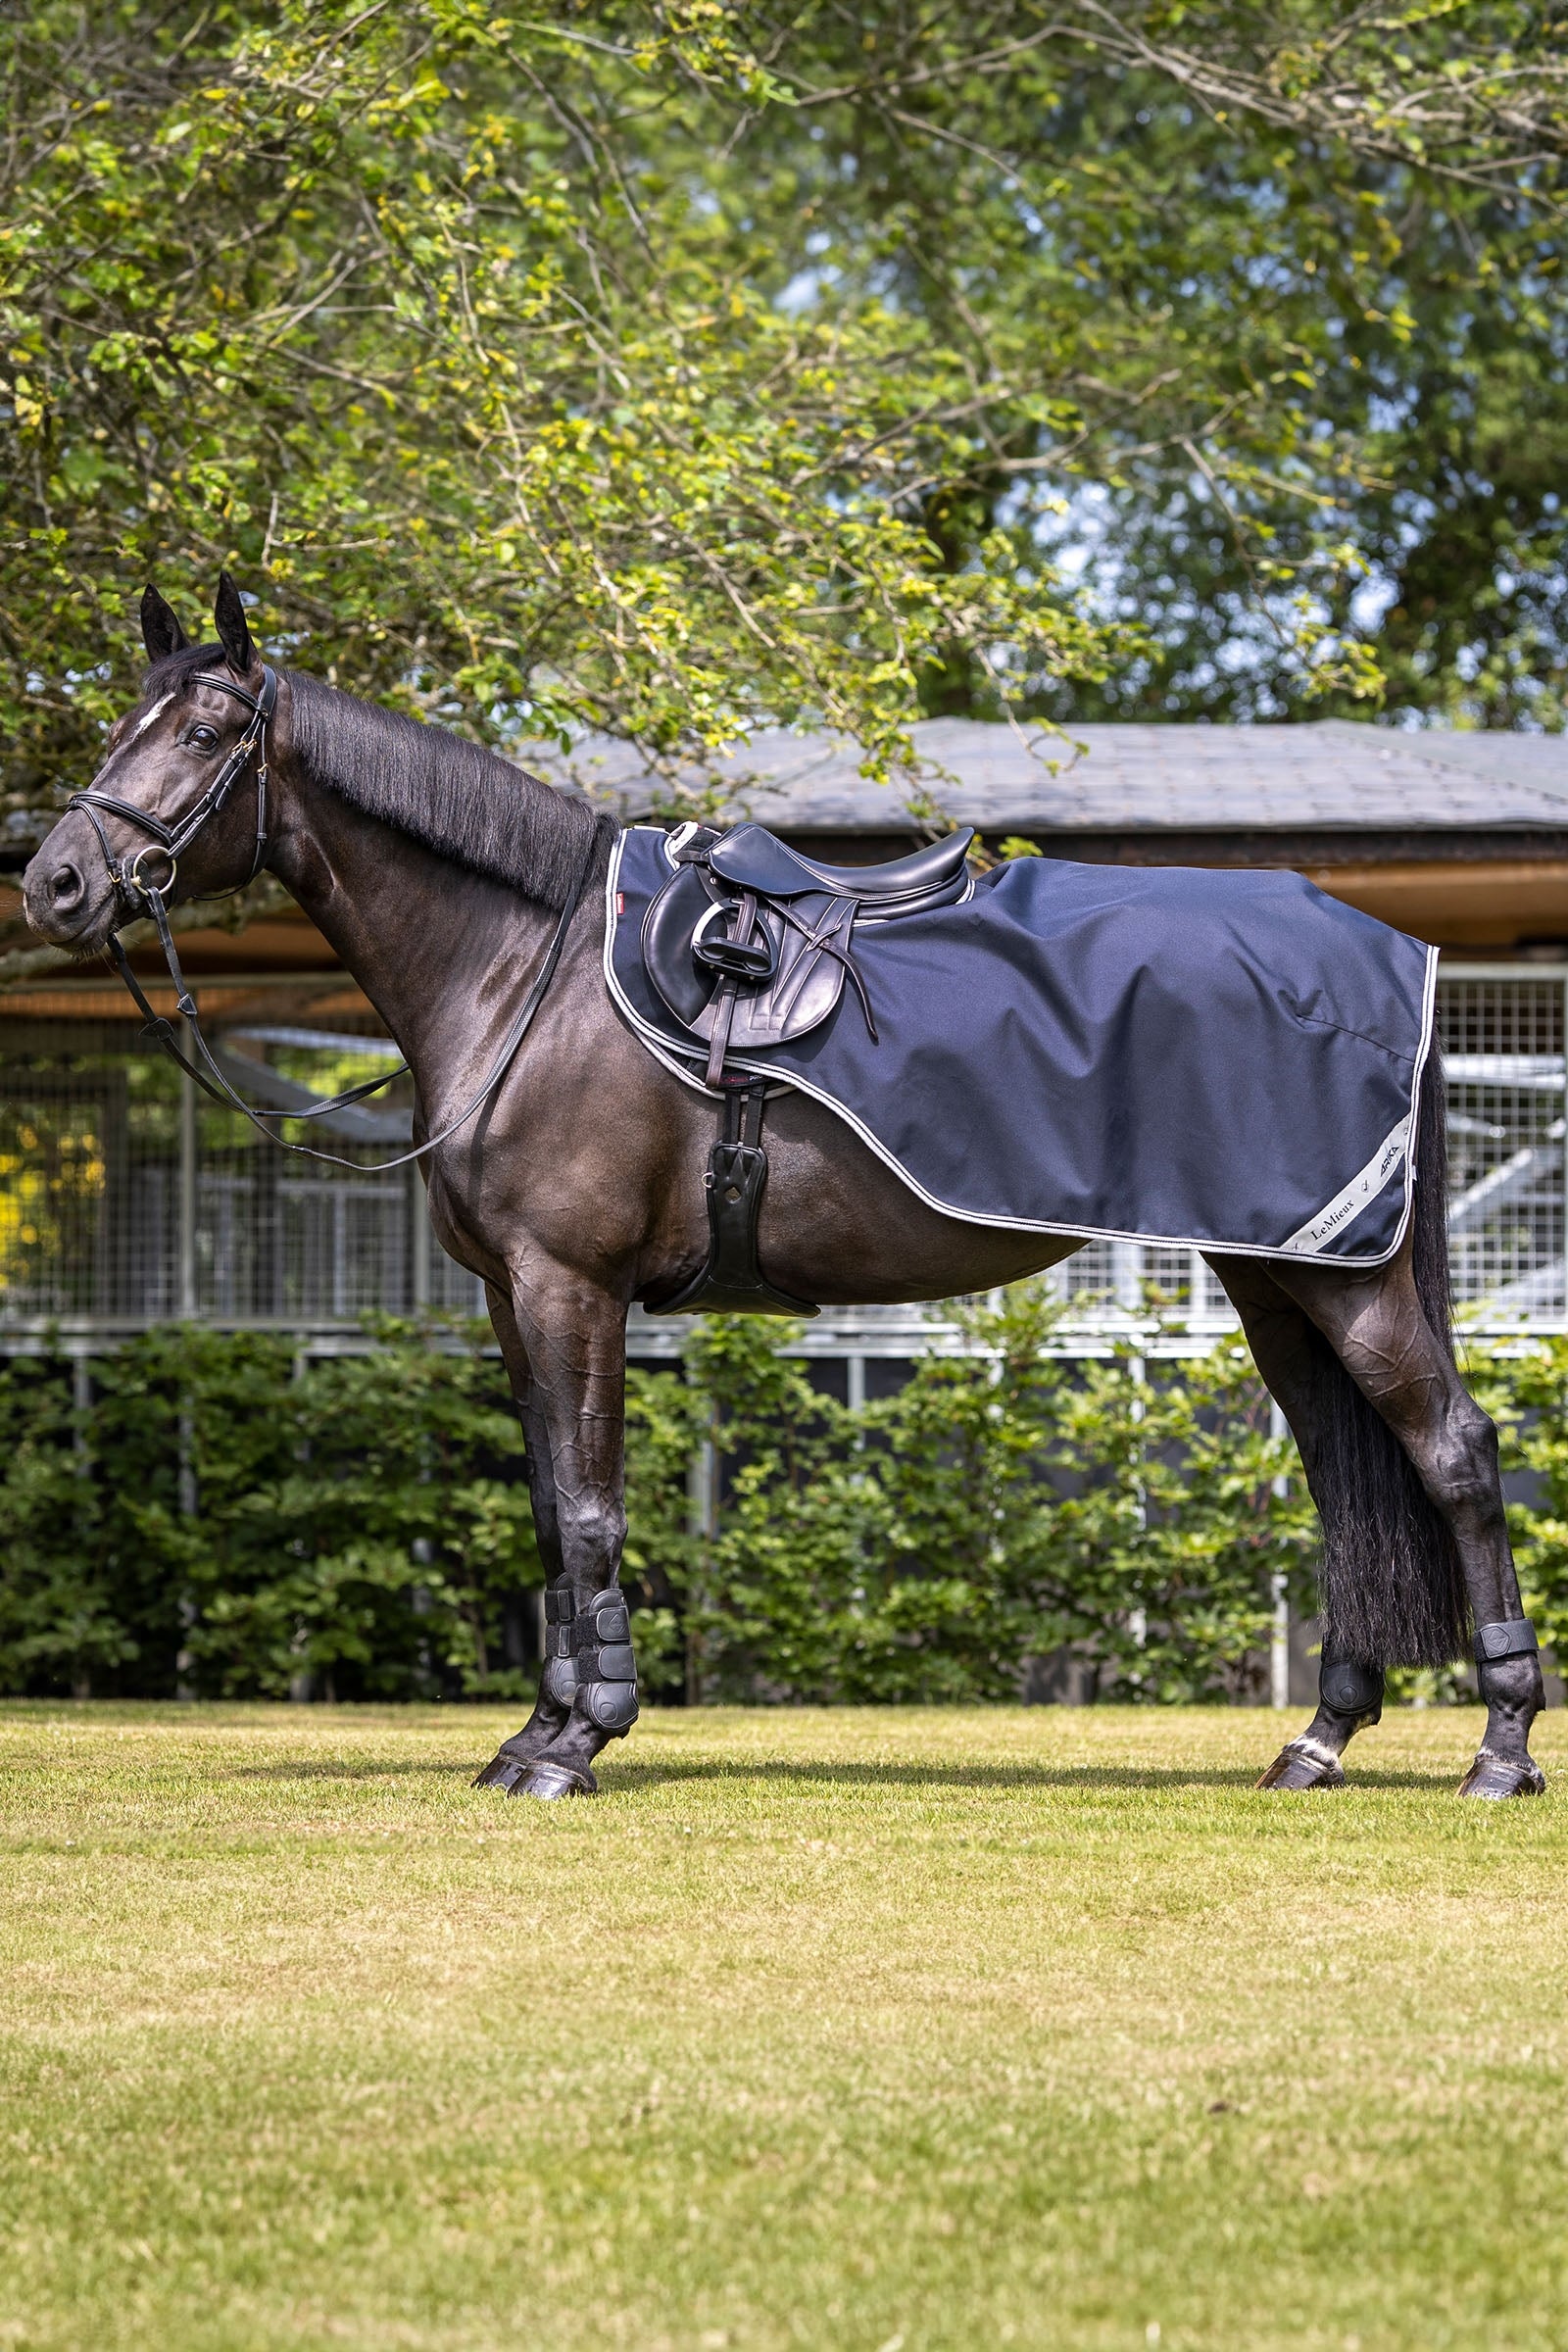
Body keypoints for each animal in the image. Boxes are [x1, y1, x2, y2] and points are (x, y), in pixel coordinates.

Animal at [22, 577, 1546, 1801]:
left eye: (203, 736)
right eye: (119, 725)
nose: (55, 883)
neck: (529, 972)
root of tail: (1382, 947)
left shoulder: (570, 1286)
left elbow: (590, 1507)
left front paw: (577, 1746)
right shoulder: (516, 1299)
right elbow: (549, 1508)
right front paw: (534, 1733)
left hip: (1342, 1284)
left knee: (1454, 1457)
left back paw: (1501, 1751)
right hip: (1279, 1280)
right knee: (1345, 1477)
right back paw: (1318, 1744)